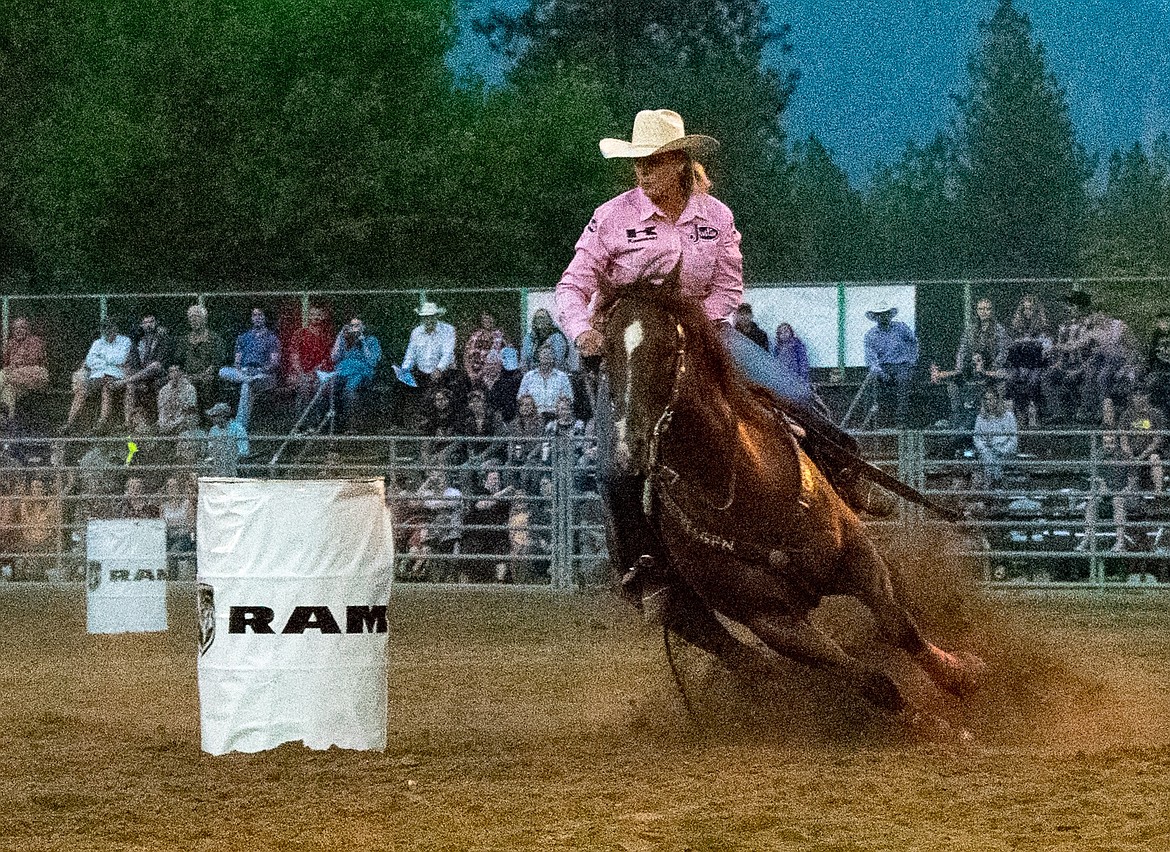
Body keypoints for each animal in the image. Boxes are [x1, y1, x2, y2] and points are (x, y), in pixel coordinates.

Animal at [603, 284, 987, 725]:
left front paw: (963, 674)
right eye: (606, 355)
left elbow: (900, 627)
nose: (629, 446)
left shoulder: (856, 556)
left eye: (669, 349)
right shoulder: (769, 620)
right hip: (681, 610)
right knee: (743, 658)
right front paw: (926, 722)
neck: (740, 489)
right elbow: (871, 682)